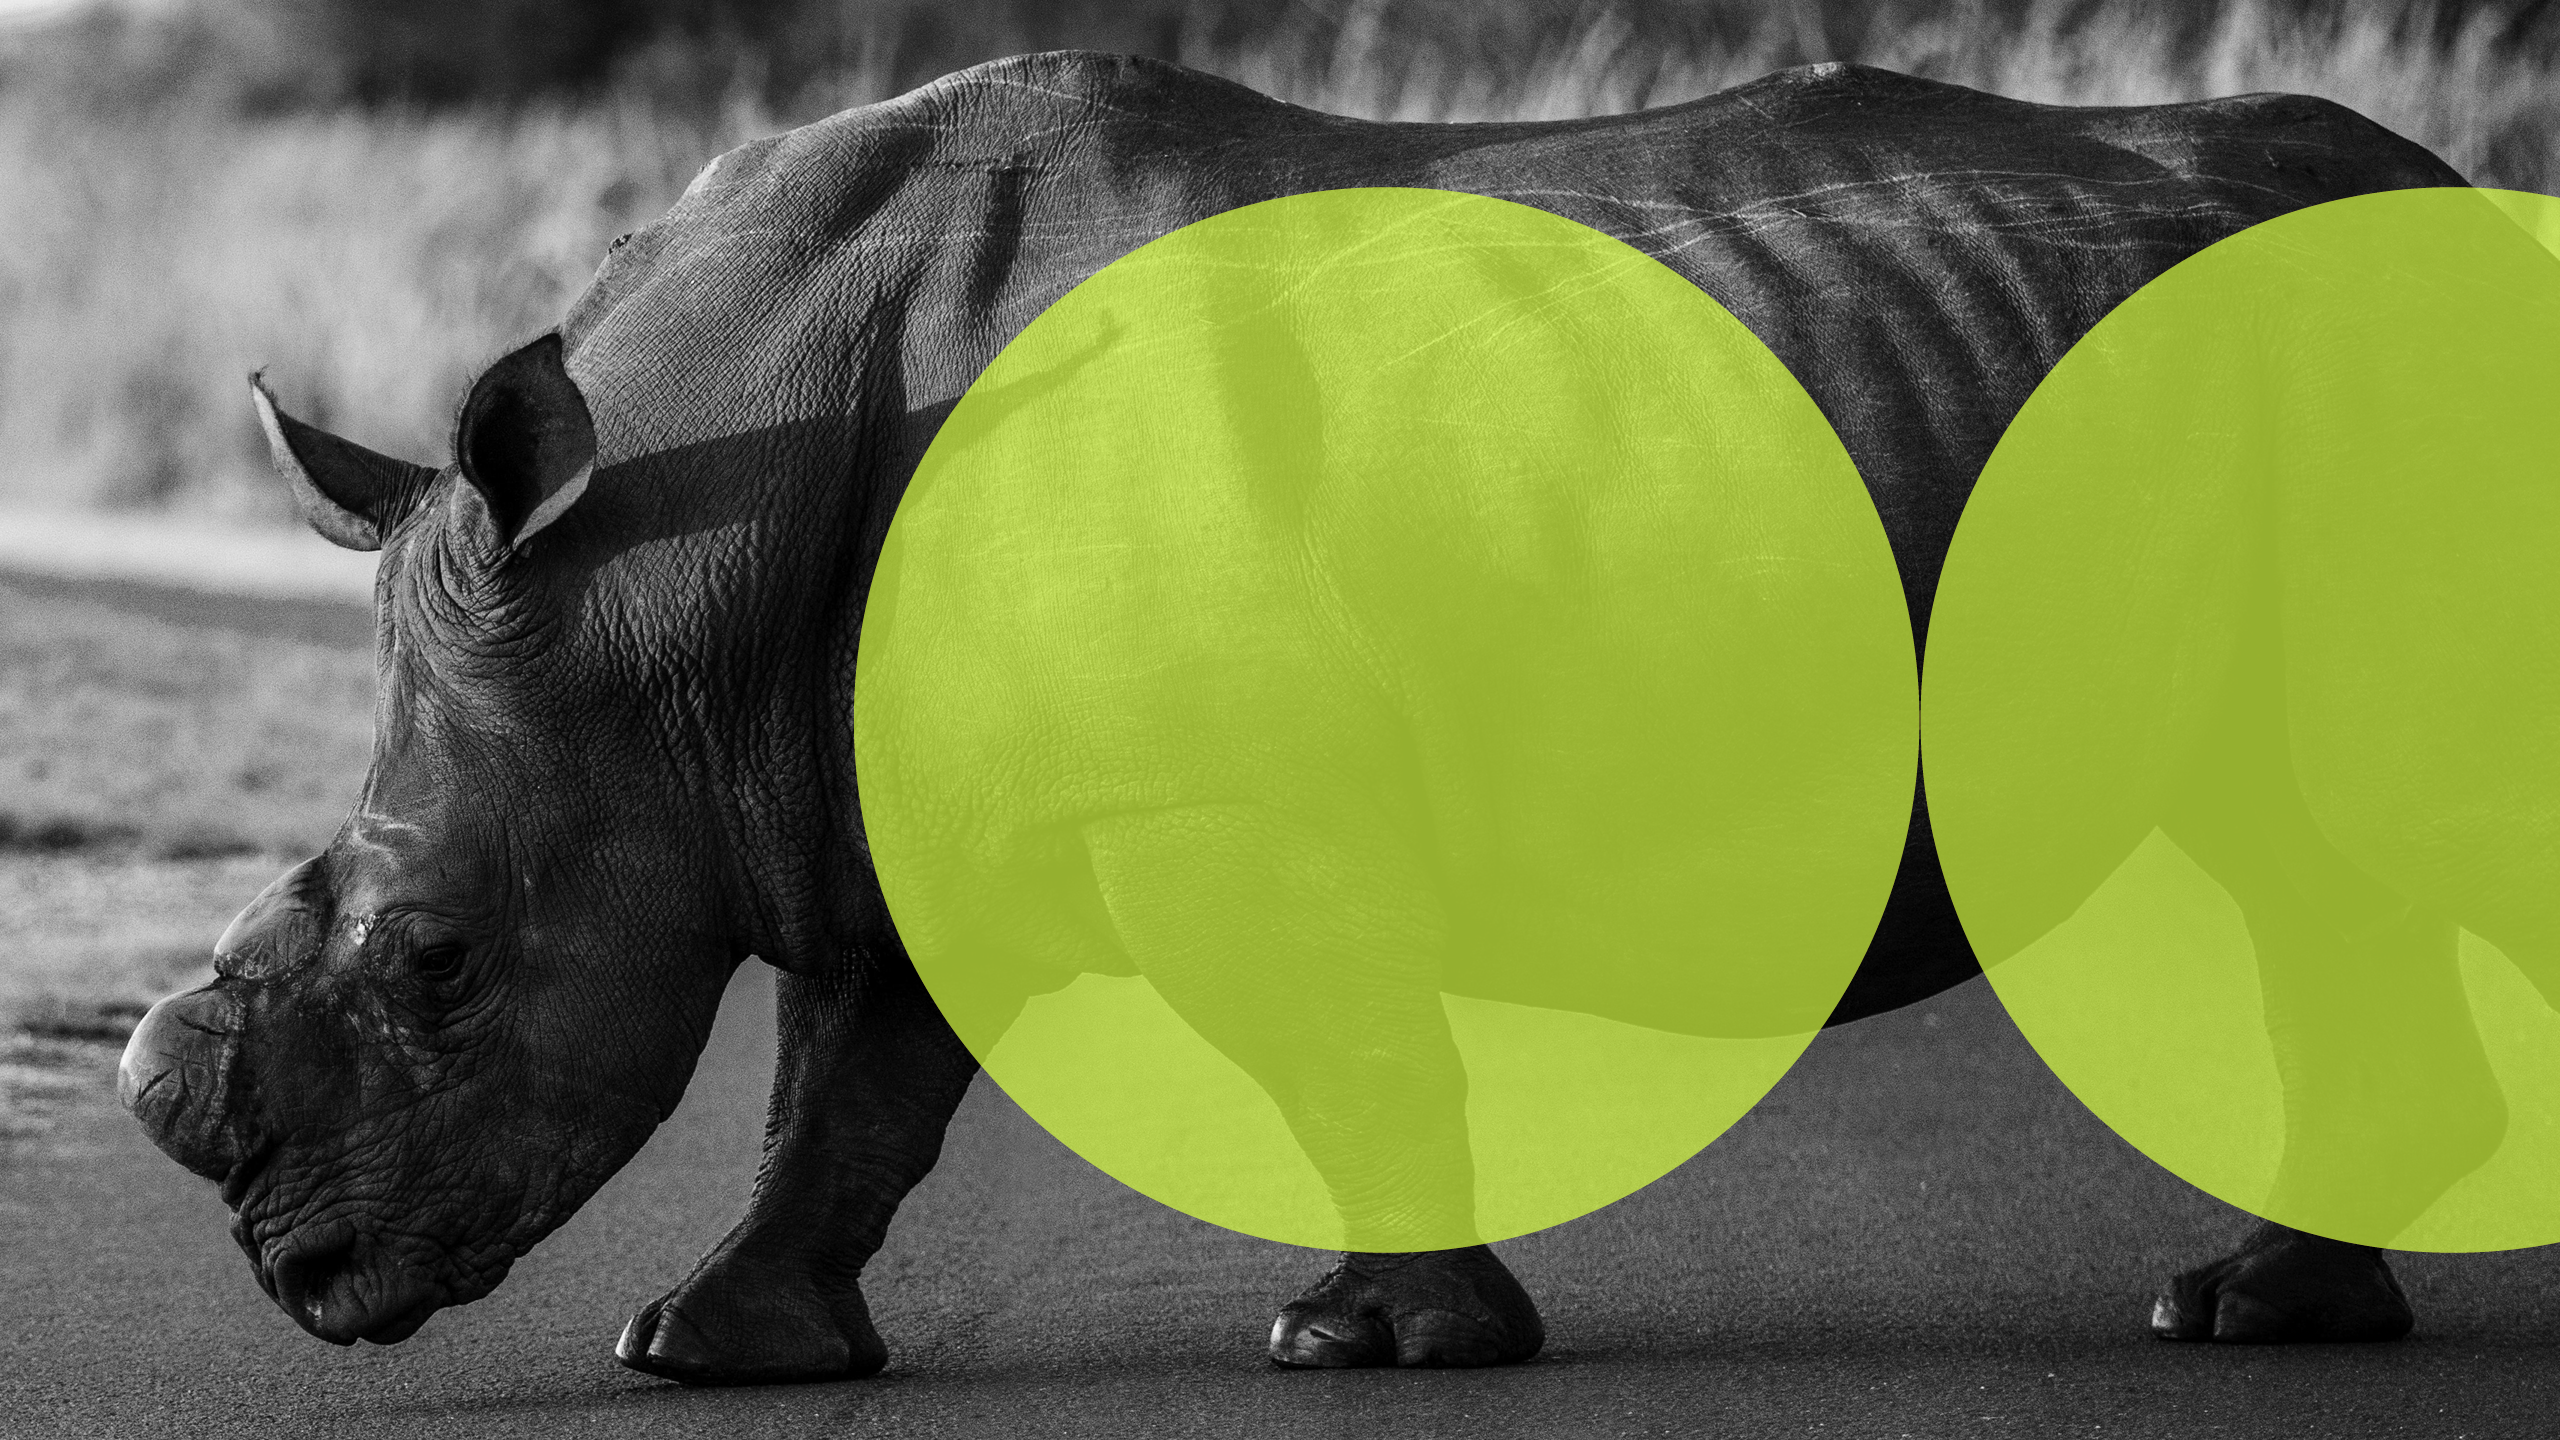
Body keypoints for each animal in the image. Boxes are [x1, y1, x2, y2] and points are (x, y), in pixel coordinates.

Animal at [118, 52, 2491, 1381]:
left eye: (438, 964)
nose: (295, 1277)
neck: (667, 579)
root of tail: (2482, 209)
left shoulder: (1211, 800)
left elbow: (1343, 1056)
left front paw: (1378, 1344)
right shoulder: (850, 787)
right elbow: (840, 1095)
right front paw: (710, 1349)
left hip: (2390, 377)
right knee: (2302, 856)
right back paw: (2255, 1311)